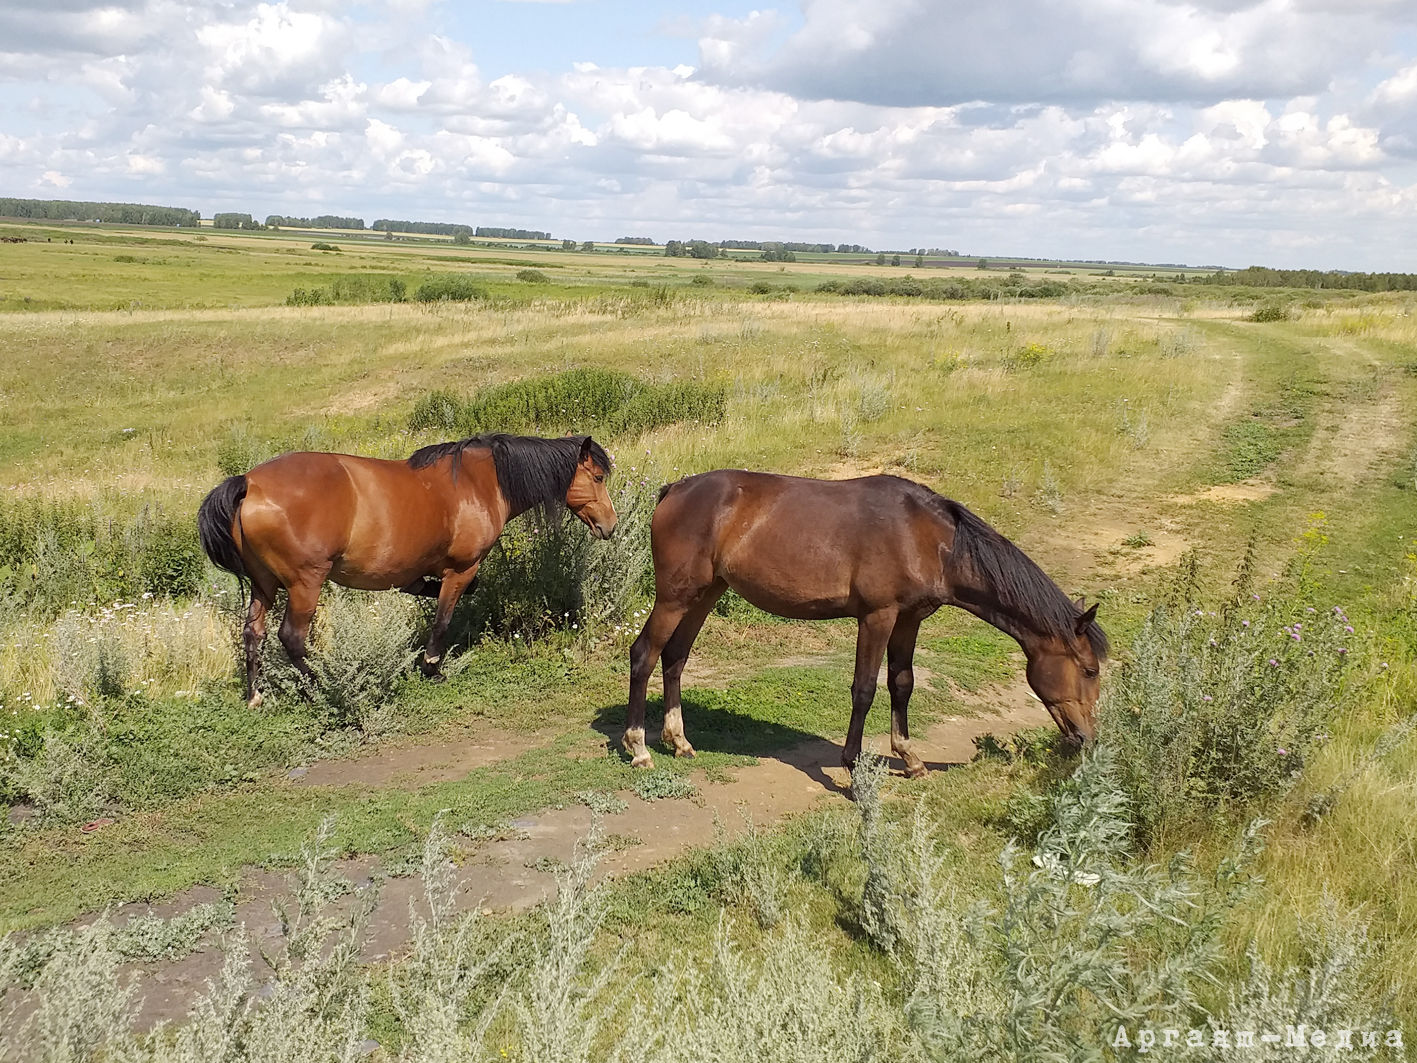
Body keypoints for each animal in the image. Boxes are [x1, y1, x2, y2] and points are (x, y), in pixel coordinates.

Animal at [199, 433, 614, 708]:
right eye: (598, 477)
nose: (610, 525)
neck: (481, 482)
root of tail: (250, 483)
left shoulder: (419, 572)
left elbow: (435, 590)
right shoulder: (462, 569)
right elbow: (444, 618)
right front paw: (432, 666)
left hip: (264, 585)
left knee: (253, 633)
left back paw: (256, 695)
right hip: (305, 584)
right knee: (292, 638)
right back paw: (322, 688)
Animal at [629, 470, 1105, 776]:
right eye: (1089, 670)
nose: (1087, 738)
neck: (929, 539)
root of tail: (674, 490)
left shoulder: (909, 620)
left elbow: (902, 684)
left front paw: (910, 758)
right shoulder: (877, 616)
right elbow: (864, 689)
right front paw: (852, 765)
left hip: (705, 594)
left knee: (675, 658)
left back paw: (679, 741)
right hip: (674, 598)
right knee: (644, 655)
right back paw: (638, 747)